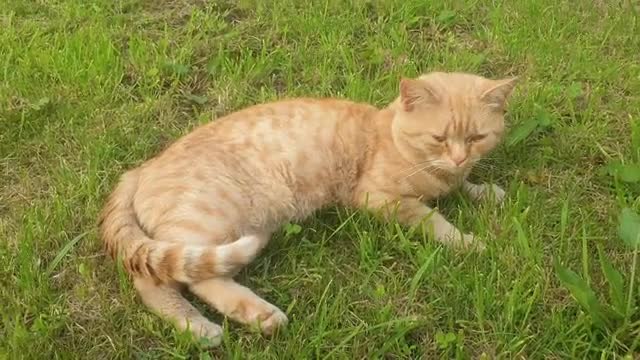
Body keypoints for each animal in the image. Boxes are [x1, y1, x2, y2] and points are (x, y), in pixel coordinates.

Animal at [101, 71, 520, 346]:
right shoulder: (379, 198)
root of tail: (139, 170)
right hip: (207, 222)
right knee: (164, 281)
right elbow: (433, 219)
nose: (459, 157)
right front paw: (467, 241)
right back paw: (210, 326)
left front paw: (483, 190)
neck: (389, 135)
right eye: (438, 138)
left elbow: (464, 187)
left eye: (477, 137)